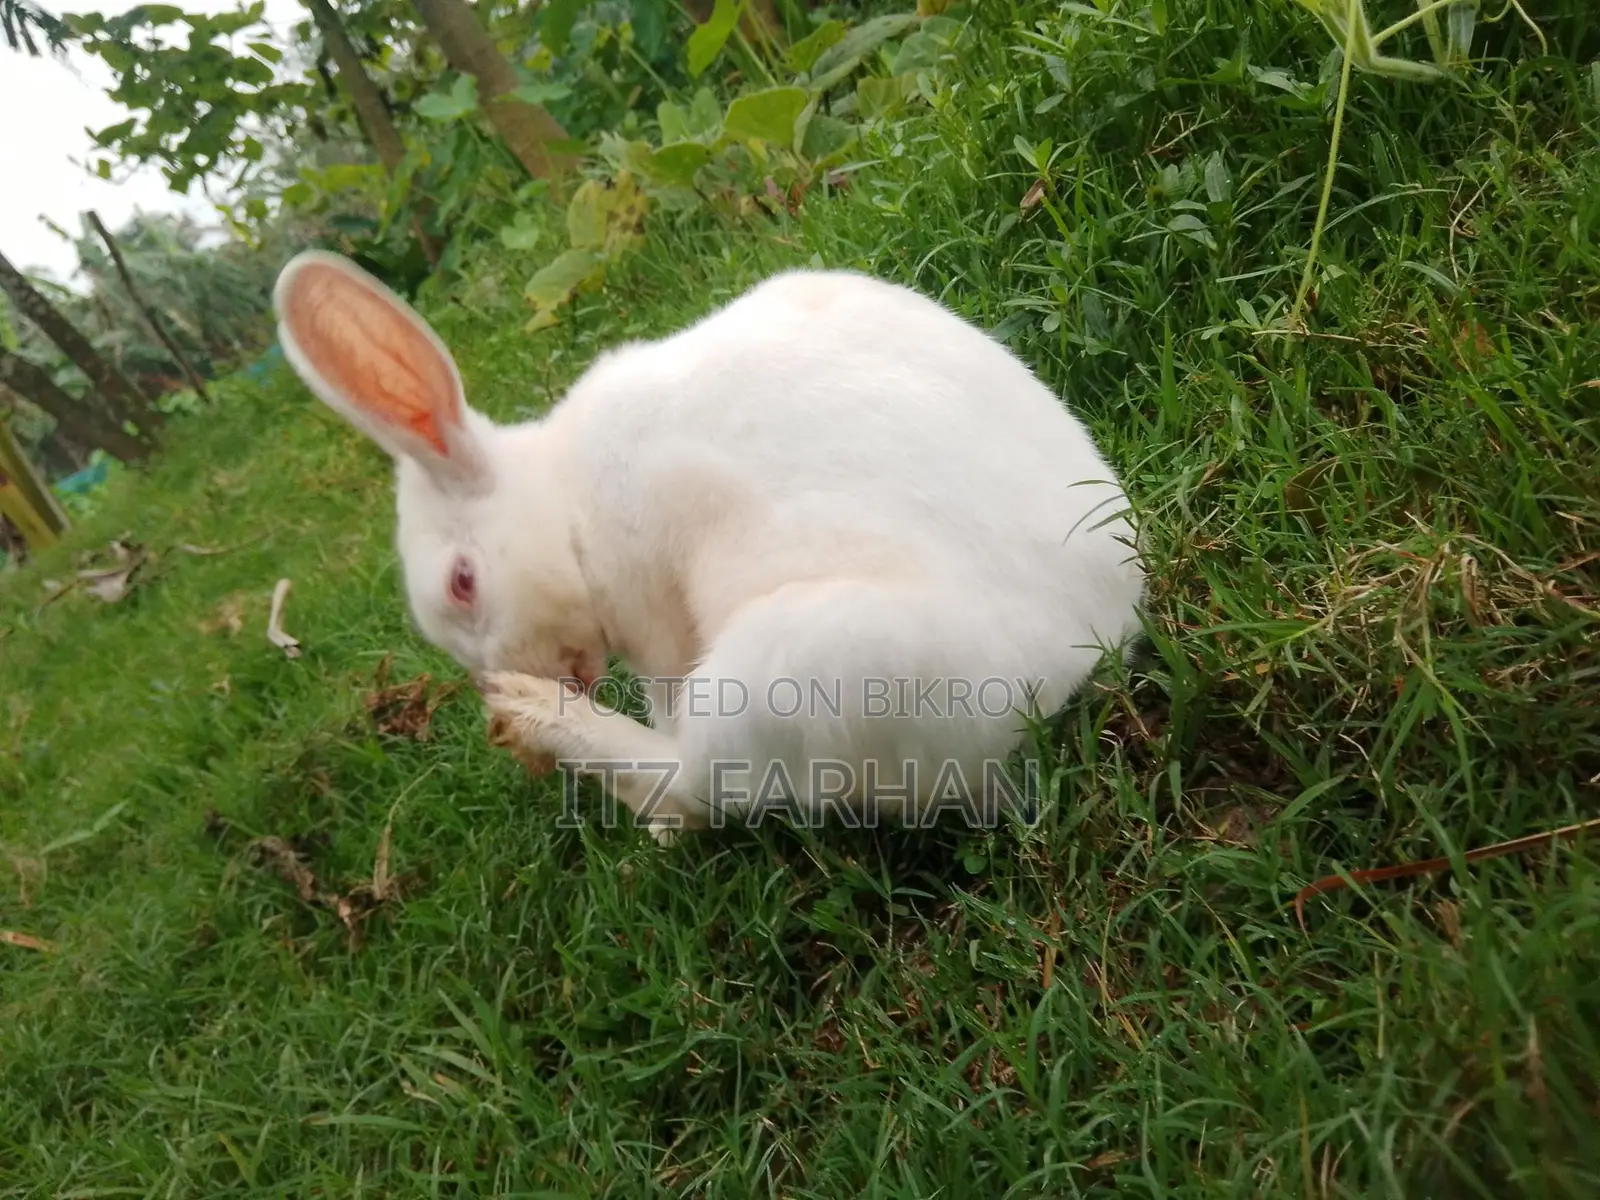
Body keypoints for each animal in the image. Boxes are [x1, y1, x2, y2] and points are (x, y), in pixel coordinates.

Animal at [273, 250, 1145, 843]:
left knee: (696, 779)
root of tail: (1093, 652)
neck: (567, 502)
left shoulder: (652, 608)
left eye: (464, 582)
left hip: (799, 670)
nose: (501, 679)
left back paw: (556, 730)